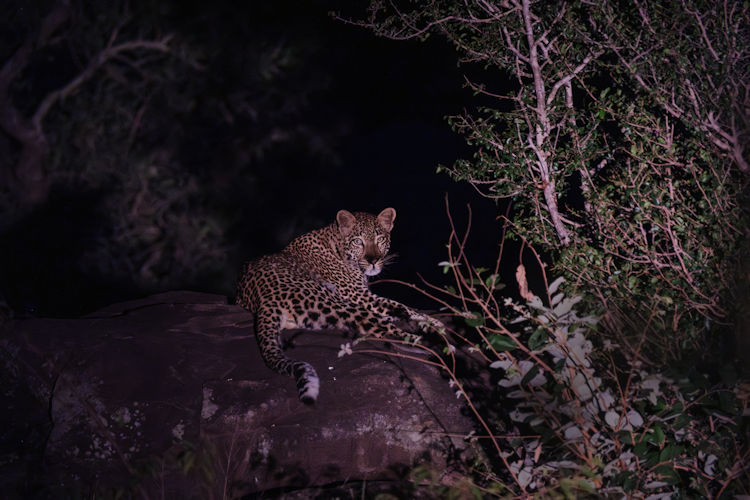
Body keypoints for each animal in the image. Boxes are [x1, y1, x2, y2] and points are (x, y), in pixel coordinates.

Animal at [235, 207, 445, 404]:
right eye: (358, 241)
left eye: (380, 239)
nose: (373, 261)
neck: (337, 245)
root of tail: (264, 299)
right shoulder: (359, 295)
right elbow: (401, 306)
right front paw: (435, 323)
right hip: (333, 301)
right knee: (386, 330)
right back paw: (432, 346)